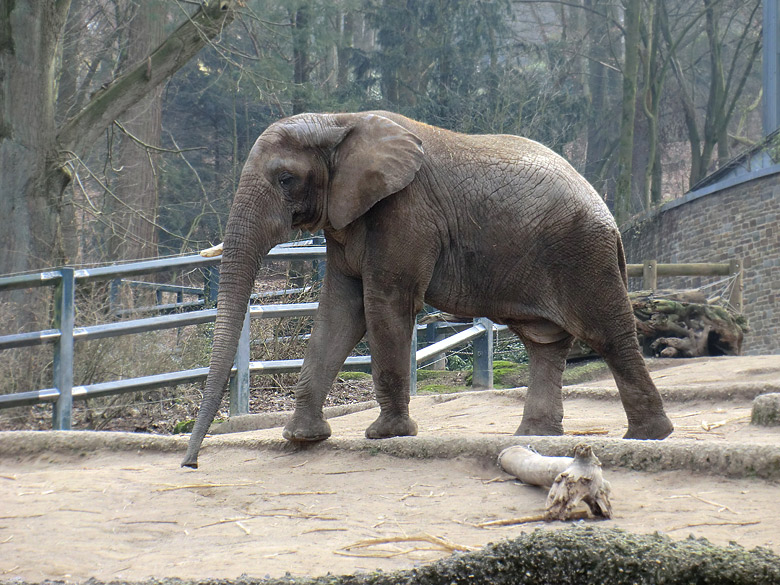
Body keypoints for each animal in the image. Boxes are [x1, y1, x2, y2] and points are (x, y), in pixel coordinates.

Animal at [180, 108, 672, 466]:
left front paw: (387, 435)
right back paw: (535, 436)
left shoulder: (404, 211)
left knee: (608, 333)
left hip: (583, 253)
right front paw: (303, 438)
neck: (338, 120)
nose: (191, 463)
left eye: (284, 179)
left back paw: (649, 437)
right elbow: (339, 311)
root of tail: (606, 210)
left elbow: (384, 304)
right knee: (544, 343)